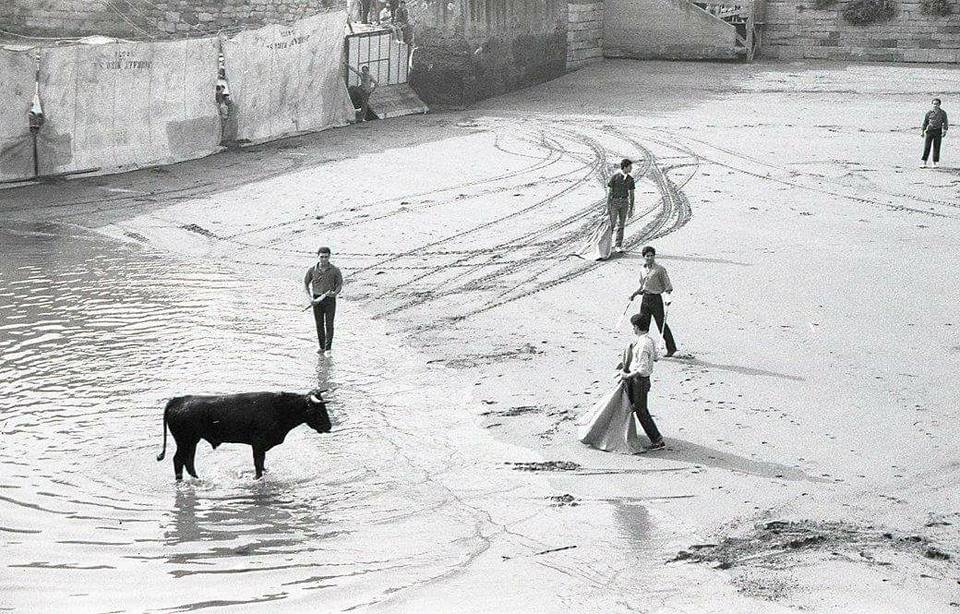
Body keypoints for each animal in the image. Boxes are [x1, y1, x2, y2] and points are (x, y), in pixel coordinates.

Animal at [156, 390, 332, 482]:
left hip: (192, 441)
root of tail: (178, 400)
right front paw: (257, 478)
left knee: (188, 461)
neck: (279, 409)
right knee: (178, 460)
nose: (329, 427)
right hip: (185, 441)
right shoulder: (258, 444)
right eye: (319, 410)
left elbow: (262, 464)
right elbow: (258, 464)